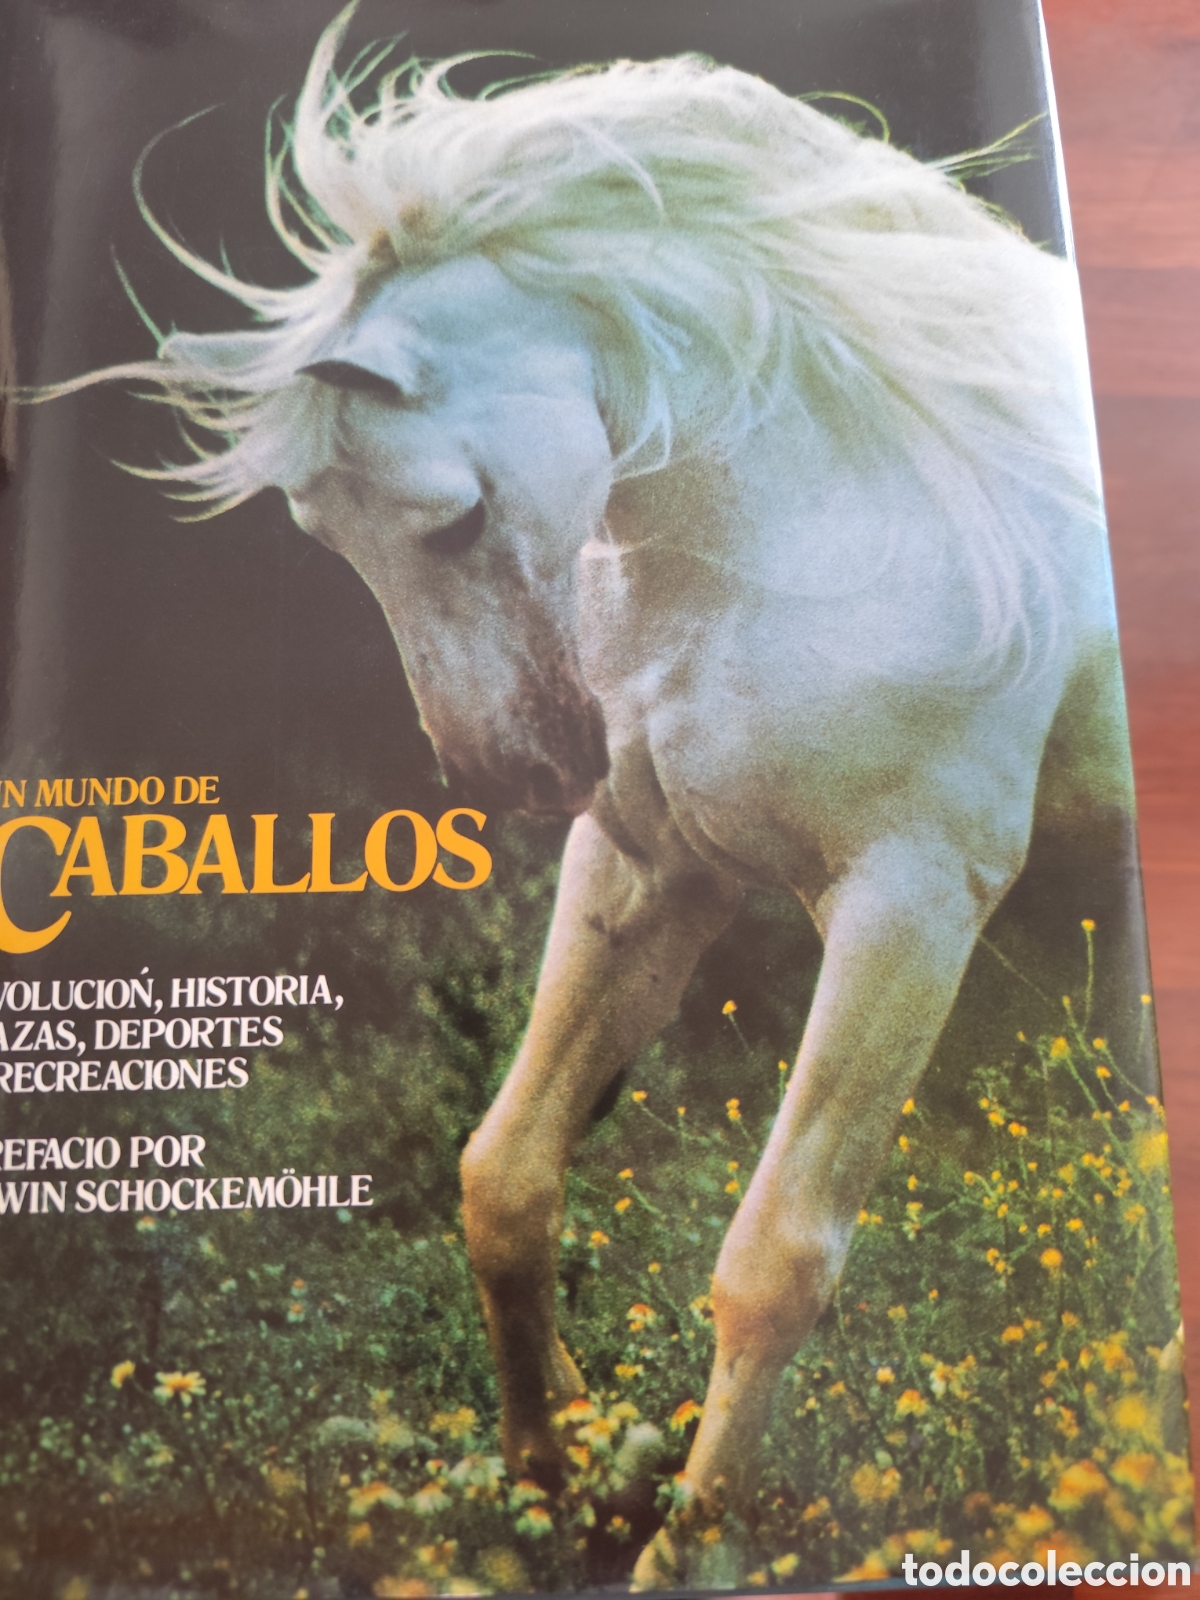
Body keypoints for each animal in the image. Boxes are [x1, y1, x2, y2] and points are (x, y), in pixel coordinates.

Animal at [50, 7, 1130, 1586]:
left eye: (451, 517)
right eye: (321, 530)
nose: (508, 772)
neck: (833, 512)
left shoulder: (911, 902)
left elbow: (774, 1264)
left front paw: (685, 1550)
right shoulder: (647, 870)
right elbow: (505, 1176)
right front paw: (549, 1478)